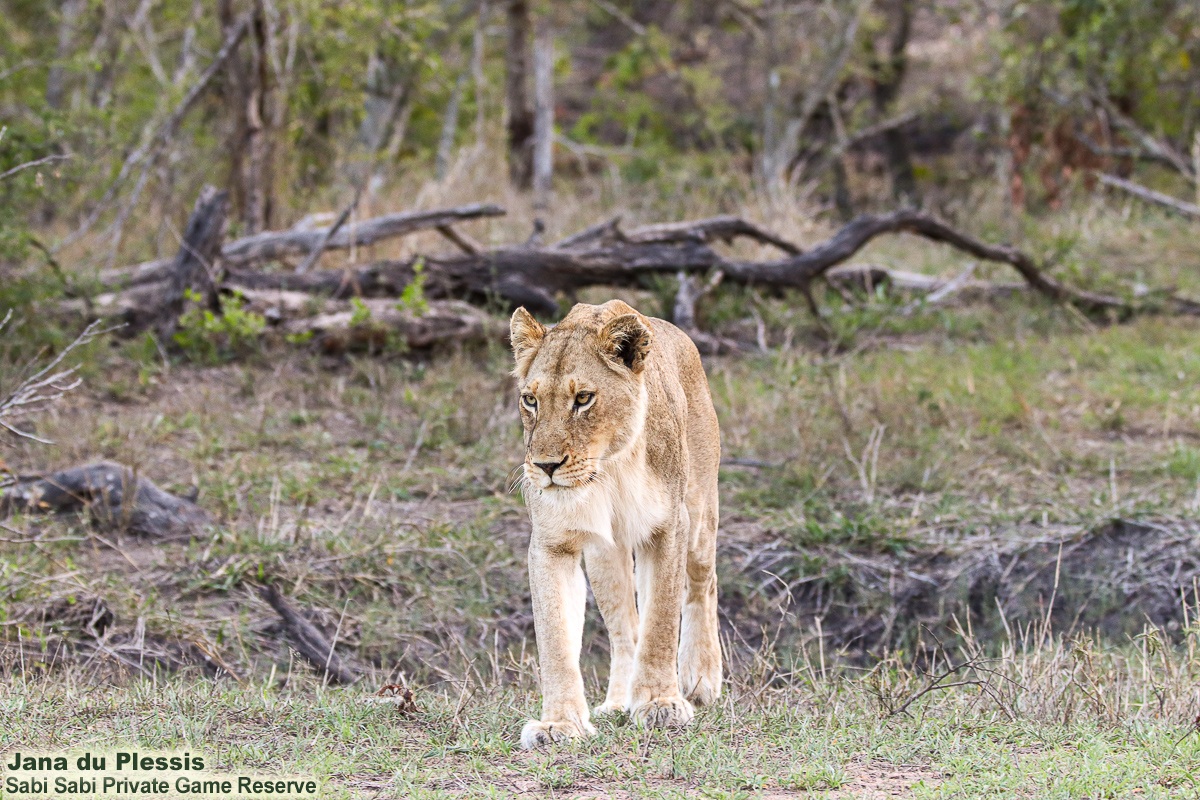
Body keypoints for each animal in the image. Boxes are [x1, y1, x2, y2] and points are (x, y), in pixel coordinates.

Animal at [509, 299, 722, 749]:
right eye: (530, 400)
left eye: (583, 398)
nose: (545, 467)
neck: (608, 470)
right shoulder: (553, 543)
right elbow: (555, 638)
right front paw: (559, 724)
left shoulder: (668, 529)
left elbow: (661, 620)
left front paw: (660, 703)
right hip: (606, 554)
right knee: (625, 630)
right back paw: (619, 702)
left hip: (700, 516)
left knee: (702, 585)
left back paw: (700, 681)